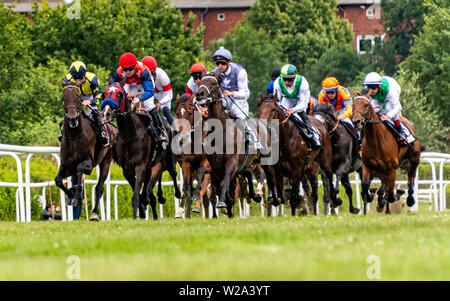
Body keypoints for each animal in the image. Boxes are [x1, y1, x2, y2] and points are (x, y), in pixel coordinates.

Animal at [55, 82, 118, 220]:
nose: (72, 119)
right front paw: (71, 195)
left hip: (106, 161)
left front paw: (76, 196)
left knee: (99, 188)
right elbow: (58, 180)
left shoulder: (88, 163)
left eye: (79, 98)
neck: (74, 136)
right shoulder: (66, 164)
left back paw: (94, 213)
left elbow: (80, 171)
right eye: (63, 98)